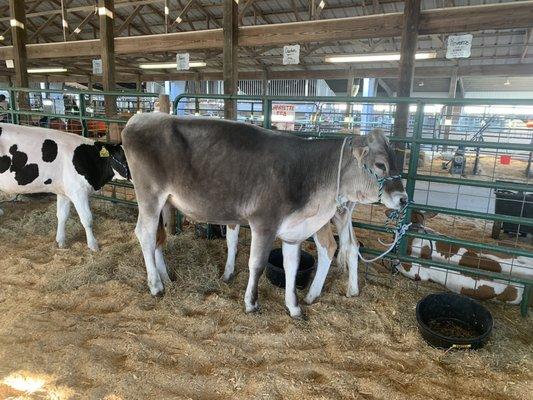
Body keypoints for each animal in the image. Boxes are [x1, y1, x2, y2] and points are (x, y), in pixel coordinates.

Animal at [0, 123, 129, 252]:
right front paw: (93, 245)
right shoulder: (78, 191)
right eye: (124, 158)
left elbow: (62, 216)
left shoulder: (64, 191)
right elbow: (87, 219)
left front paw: (61, 241)